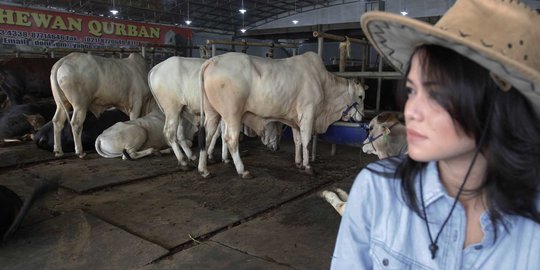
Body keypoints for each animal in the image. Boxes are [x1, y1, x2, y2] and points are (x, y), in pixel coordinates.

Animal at [198, 51, 368, 178]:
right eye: (361, 96)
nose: (363, 117)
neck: (324, 84)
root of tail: (212, 61)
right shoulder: (308, 114)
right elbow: (306, 140)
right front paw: (308, 166)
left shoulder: (295, 120)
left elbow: (298, 140)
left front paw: (299, 162)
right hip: (232, 114)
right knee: (230, 139)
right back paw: (243, 170)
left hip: (212, 113)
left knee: (207, 137)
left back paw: (204, 170)